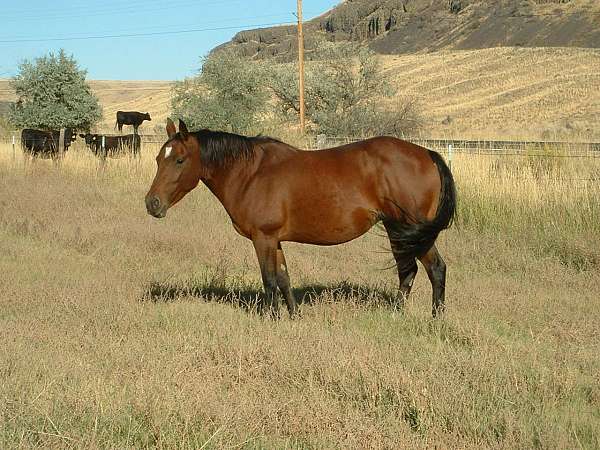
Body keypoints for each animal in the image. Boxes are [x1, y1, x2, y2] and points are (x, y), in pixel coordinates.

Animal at [144, 118, 454, 316]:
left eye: (179, 160)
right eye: (158, 159)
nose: (152, 203)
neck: (251, 174)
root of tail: (427, 153)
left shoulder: (263, 238)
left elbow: (269, 279)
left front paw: (273, 318)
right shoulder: (274, 240)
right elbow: (283, 277)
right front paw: (294, 317)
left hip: (409, 230)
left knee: (432, 269)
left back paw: (434, 319)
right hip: (400, 230)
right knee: (412, 271)